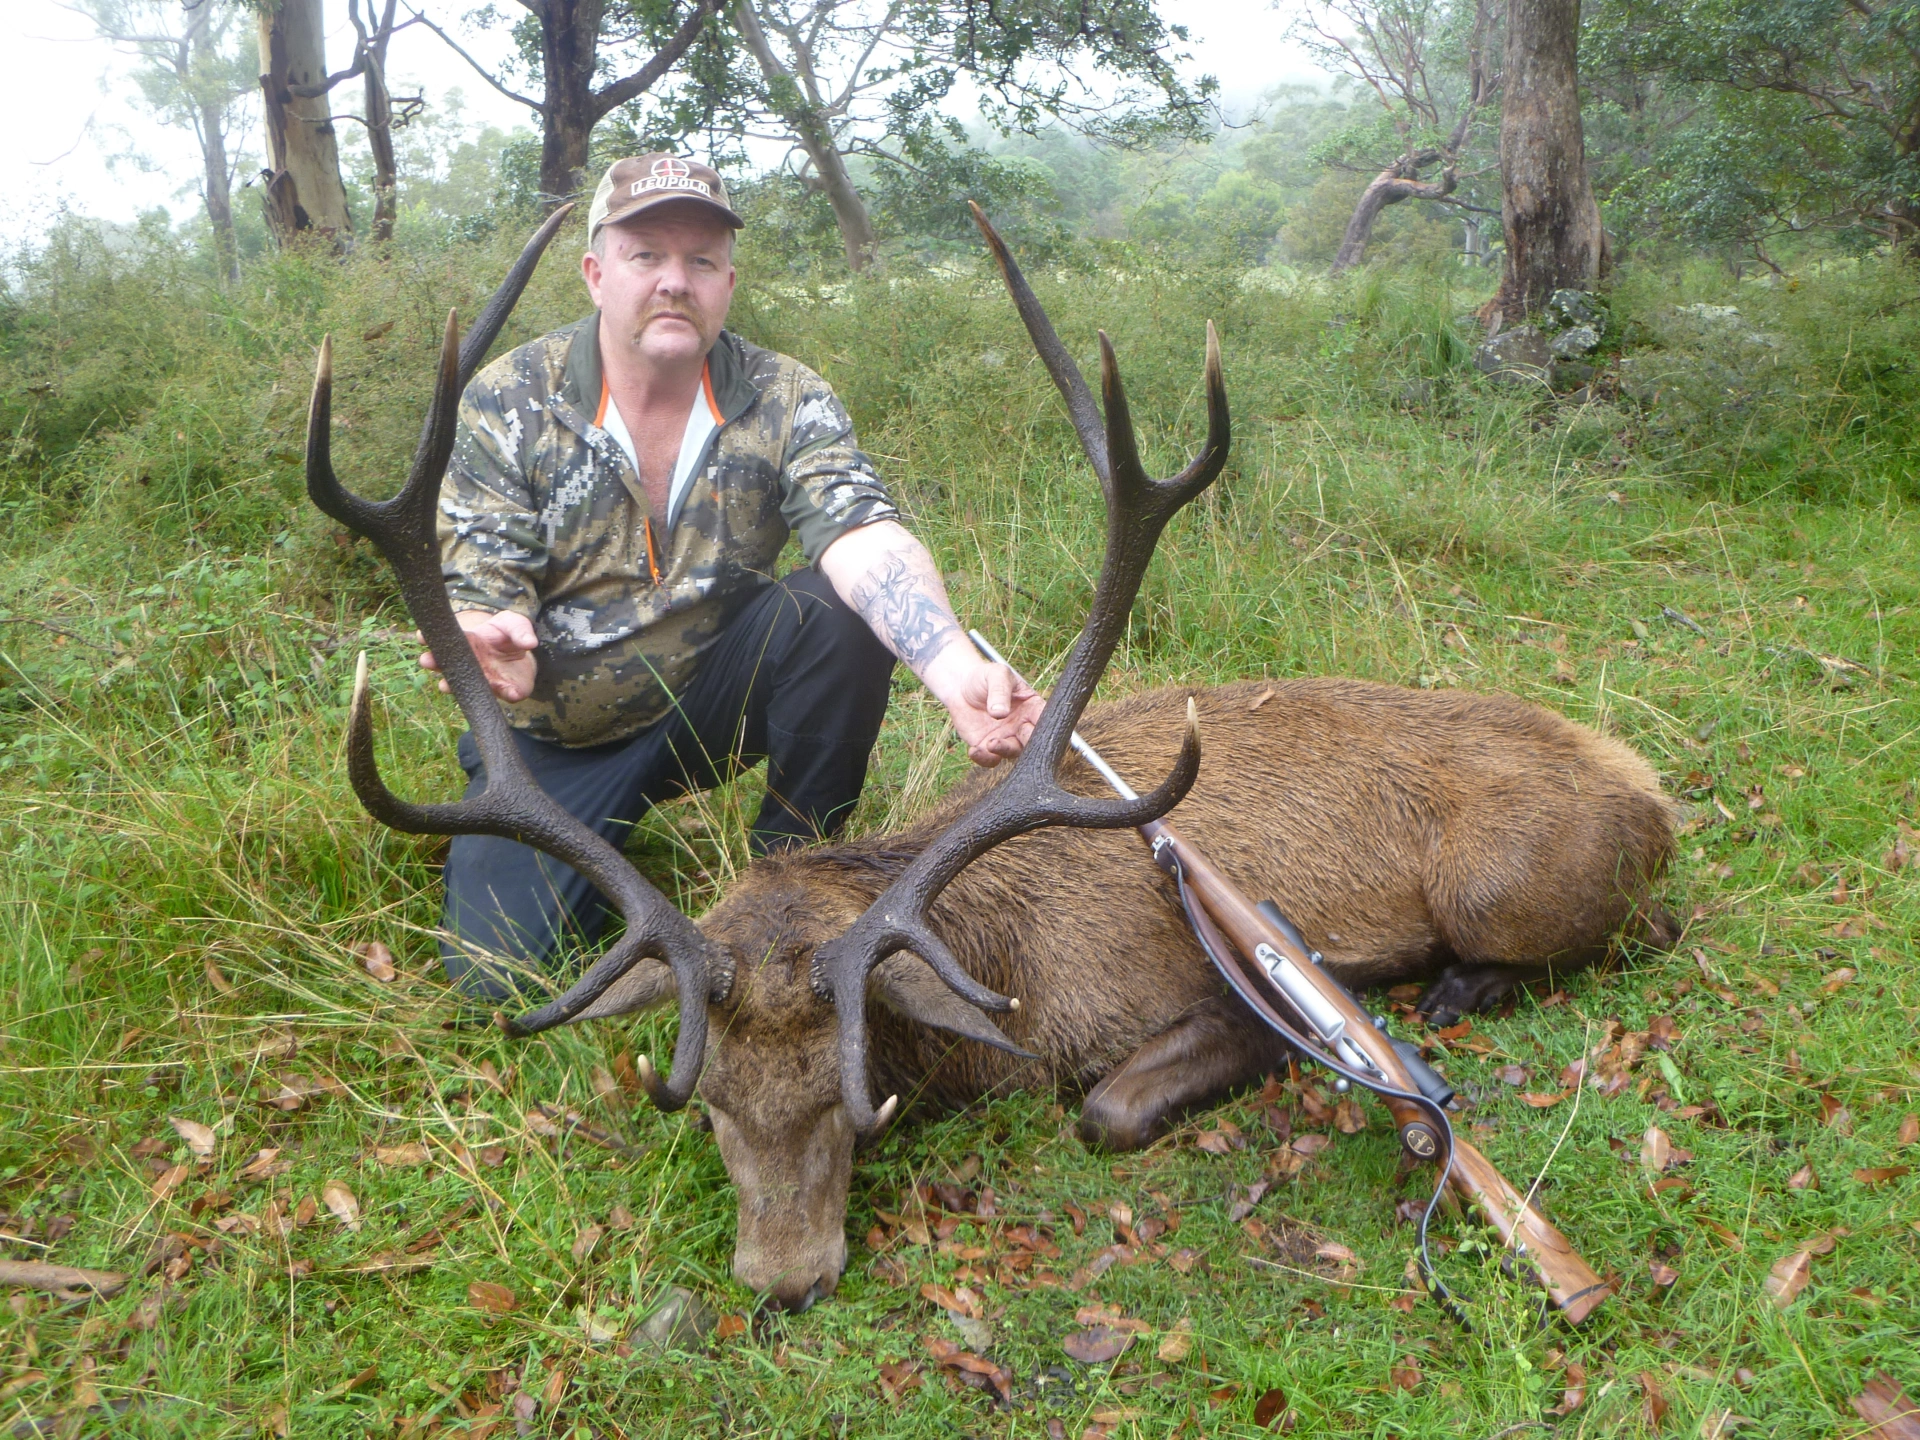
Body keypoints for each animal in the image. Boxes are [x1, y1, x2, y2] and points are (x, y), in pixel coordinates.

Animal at [305, 205, 1678, 1313]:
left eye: (848, 1097)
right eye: (710, 1106)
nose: (786, 1283)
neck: (996, 992)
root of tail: (1650, 788)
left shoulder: (1204, 987)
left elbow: (1113, 1107)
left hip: (1507, 882)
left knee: (1617, 931)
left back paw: (1458, 988)